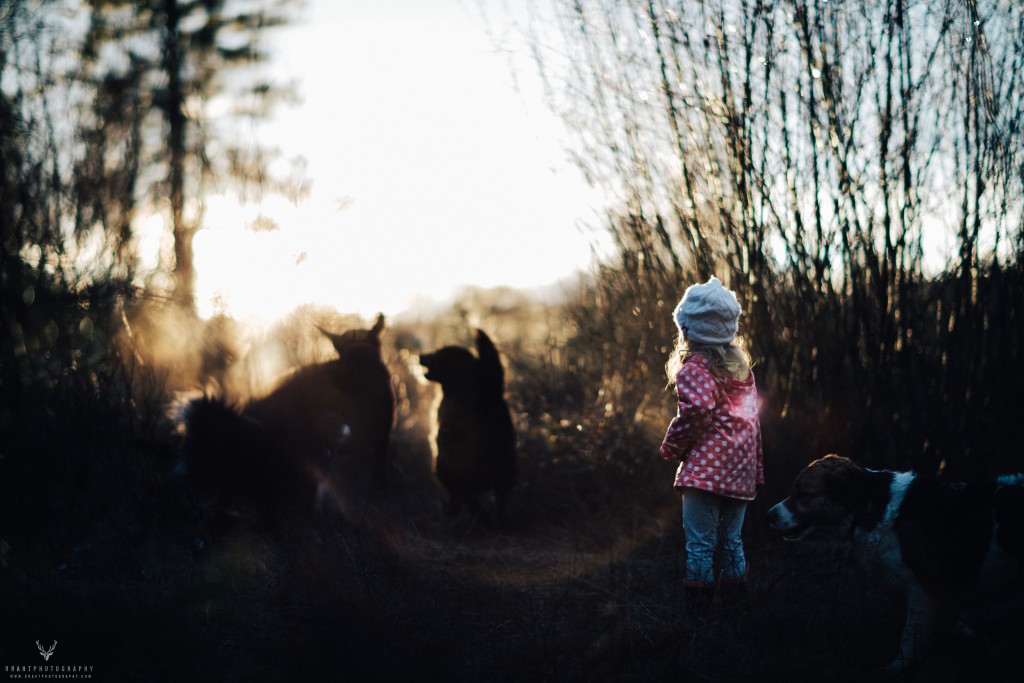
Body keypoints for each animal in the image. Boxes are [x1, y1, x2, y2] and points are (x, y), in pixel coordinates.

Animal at [421, 327, 520, 528]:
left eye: (436, 353)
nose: (420, 355)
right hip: (505, 471)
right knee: (499, 501)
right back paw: (502, 524)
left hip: (446, 464)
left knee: (466, 497)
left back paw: (458, 511)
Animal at [770, 454, 1024, 671]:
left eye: (803, 493)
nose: (768, 514)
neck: (879, 509)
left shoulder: (923, 588)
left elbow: (910, 636)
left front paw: (898, 667)